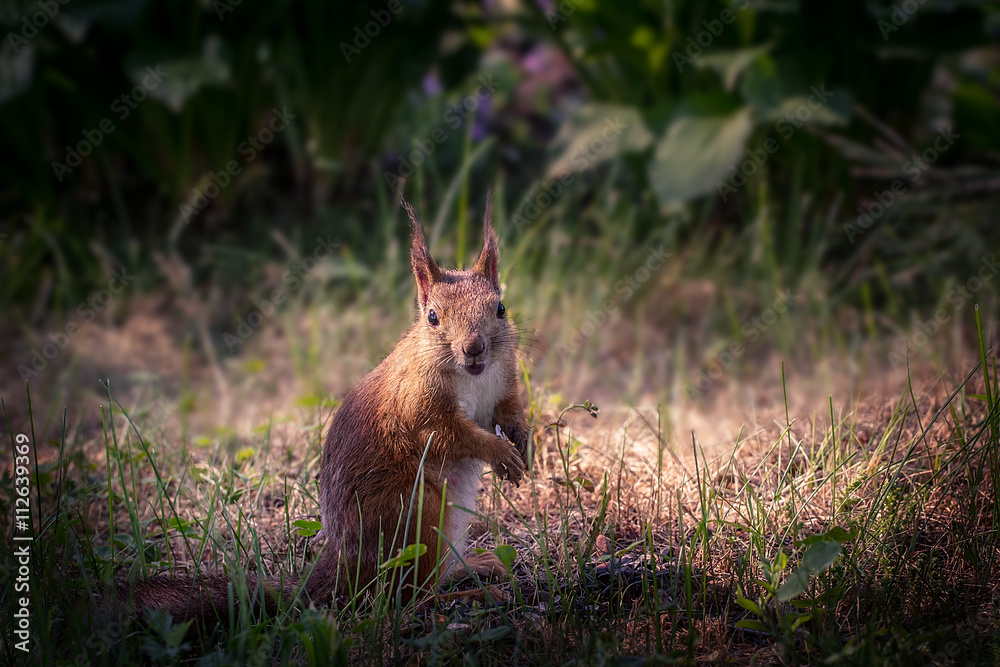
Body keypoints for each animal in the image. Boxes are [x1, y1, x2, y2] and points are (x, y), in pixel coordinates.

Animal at [110, 197, 532, 624]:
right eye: (432, 317)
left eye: (500, 308)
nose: (474, 348)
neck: (472, 375)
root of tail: (344, 564)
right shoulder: (418, 407)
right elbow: (448, 434)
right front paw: (501, 453)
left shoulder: (504, 382)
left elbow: (508, 410)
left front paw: (522, 442)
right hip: (419, 517)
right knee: (408, 597)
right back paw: (468, 598)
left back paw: (477, 566)